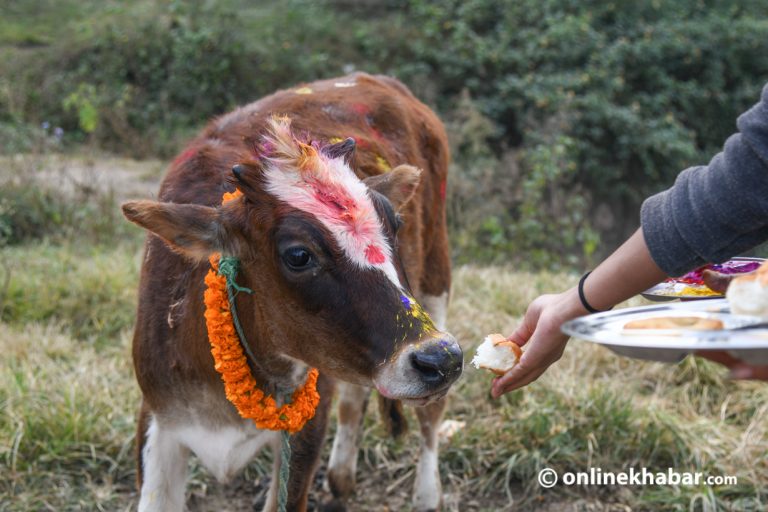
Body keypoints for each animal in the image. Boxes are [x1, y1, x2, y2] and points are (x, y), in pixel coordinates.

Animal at [124, 73, 462, 512]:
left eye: (395, 223)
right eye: (299, 255)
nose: (441, 359)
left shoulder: (304, 430)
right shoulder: (157, 415)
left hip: (437, 277)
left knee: (430, 414)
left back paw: (425, 495)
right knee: (354, 399)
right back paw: (341, 479)